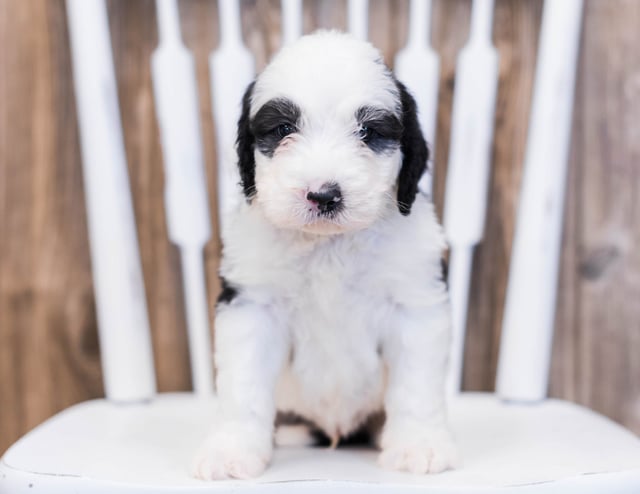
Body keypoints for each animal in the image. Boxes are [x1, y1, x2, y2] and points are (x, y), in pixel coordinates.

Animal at [192, 30, 458, 478]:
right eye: (284, 128)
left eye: (367, 132)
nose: (323, 195)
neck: (329, 244)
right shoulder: (252, 306)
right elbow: (243, 387)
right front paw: (231, 451)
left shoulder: (414, 303)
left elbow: (416, 388)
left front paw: (417, 446)